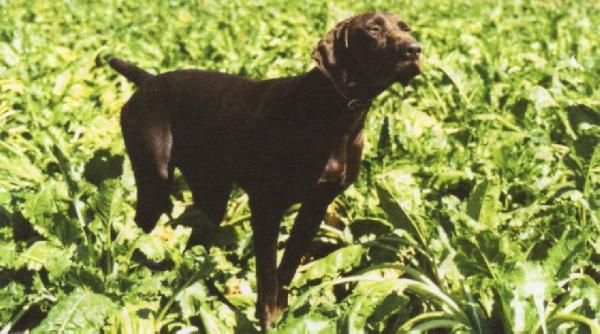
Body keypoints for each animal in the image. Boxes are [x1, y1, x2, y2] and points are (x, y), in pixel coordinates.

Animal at [109, 12, 422, 328]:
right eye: (373, 28)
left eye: (405, 28)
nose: (414, 49)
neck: (336, 113)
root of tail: (149, 81)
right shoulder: (266, 207)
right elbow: (268, 275)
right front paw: (268, 321)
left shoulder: (316, 205)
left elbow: (288, 266)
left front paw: (284, 315)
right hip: (154, 184)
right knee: (134, 238)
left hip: (212, 196)